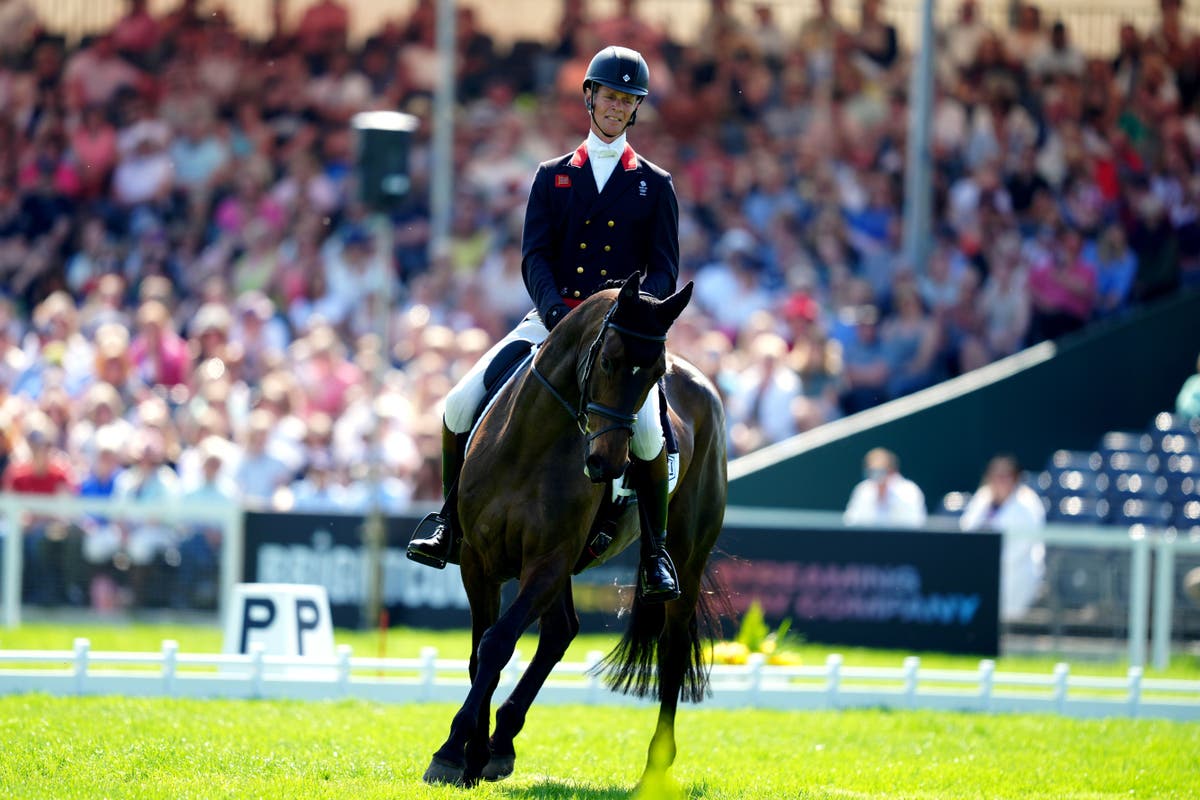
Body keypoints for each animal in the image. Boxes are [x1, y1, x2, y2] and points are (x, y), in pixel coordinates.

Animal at [420, 273, 727, 787]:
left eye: (654, 373)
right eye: (608, 359)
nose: (608, 464)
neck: (531, 445)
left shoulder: (548, 560)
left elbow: (498, 643)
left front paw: (451, 750)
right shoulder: (477, 561)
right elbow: (480, 652)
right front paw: (470, 755)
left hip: (686, 554)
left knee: (672, 646)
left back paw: (655, 767)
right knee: (561, 630)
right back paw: (502, 743)